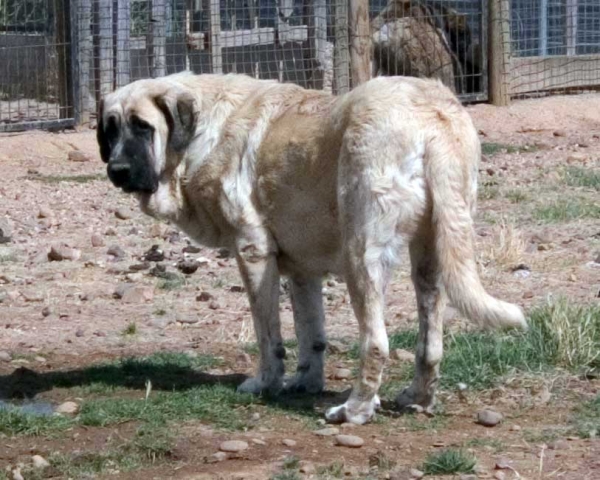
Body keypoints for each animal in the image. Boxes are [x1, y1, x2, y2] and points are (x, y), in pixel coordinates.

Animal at [97, 72, 524, 424]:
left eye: (143, 127)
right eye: (111, 129)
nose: (117, 171)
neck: (203, 132)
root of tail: (430, 116)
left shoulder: (254, 253)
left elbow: (268, 336)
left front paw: (266, 384)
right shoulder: (302, 270)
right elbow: (311, 334)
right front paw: (306, 383)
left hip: (361, 255)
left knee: (376, 343)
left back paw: (354, 410)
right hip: (434, 255)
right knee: (429, 345)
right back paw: (417, 398)